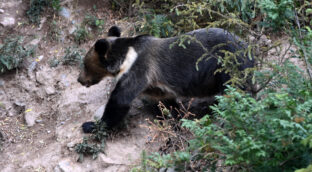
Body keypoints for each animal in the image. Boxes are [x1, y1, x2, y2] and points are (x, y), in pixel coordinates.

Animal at [77, 25, 254, 133]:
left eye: (85, 64)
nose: (79, 79)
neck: (126, 57)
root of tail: (247, 46)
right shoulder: (156, 86)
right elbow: (167, 102)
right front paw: (177, 119)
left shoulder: (138, 69)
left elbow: (120, 100)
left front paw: (90, 125)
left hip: (227, 62)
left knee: (236, 88)